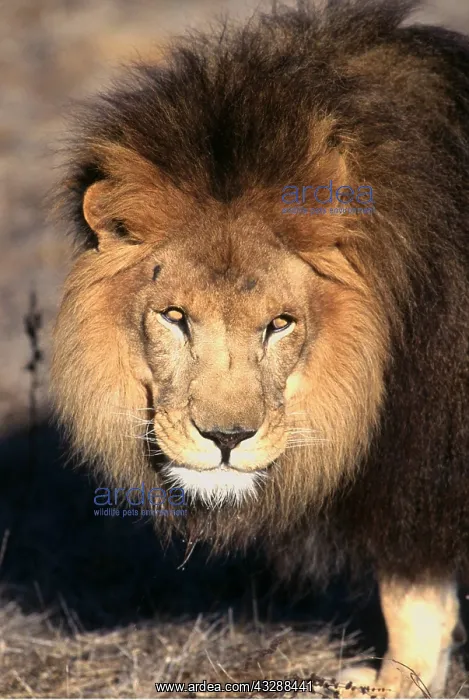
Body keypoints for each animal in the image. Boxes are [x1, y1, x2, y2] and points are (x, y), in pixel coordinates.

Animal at [51, 0, 469, 696]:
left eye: (280, 324)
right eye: (174, 317)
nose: (226, 439)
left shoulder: (421, 458)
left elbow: (410, 589)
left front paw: (393, 684)